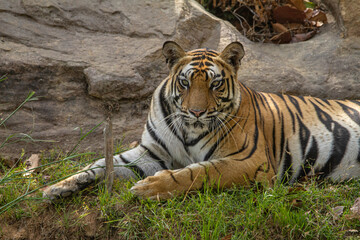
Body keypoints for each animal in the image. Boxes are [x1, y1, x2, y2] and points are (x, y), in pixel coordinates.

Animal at [43, 40, 360, 201]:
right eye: (185, 83)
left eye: (215, 85)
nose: (196, 112)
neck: (188, 129)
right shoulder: (151, 152)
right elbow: (99, 164)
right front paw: (56, 187)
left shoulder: (250, 161)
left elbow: (198, 173)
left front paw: (149, 188)